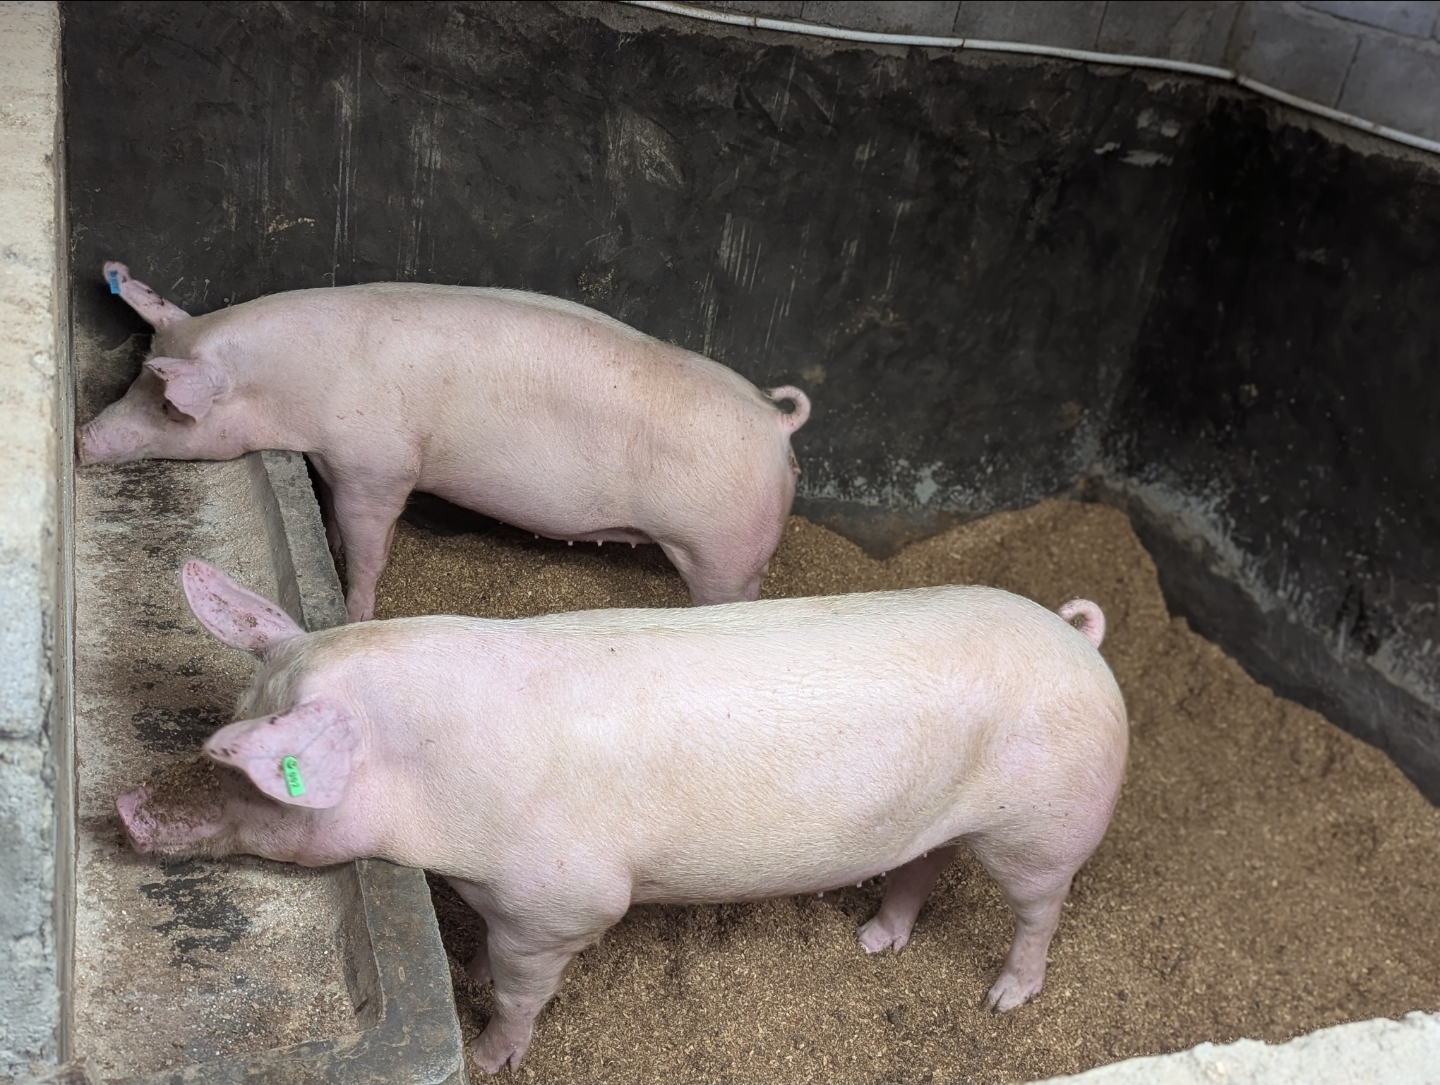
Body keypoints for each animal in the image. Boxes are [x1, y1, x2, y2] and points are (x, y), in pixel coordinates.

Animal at [79, 263, 812, 619]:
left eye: (167, 404)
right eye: (138, 373)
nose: (84, 439)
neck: (295, 386)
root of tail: (776, 424)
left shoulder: (378, 465)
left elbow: (371, 548)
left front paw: (355, 611)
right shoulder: (333, 463)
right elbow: (337, 525)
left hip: (721, 551)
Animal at [117, 561, 1128, 1074]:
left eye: (254, 775)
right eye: (234, 709)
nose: (125, 807)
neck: (435, 790)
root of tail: (1079, 638)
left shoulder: (565, 899)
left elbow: (523, 989)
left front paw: (490, 1054)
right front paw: (471, 976)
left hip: (1046, 825)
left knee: (1042, 907)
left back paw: (1004, 997)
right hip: (942, 823)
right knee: (922, 866)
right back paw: (875, 942)